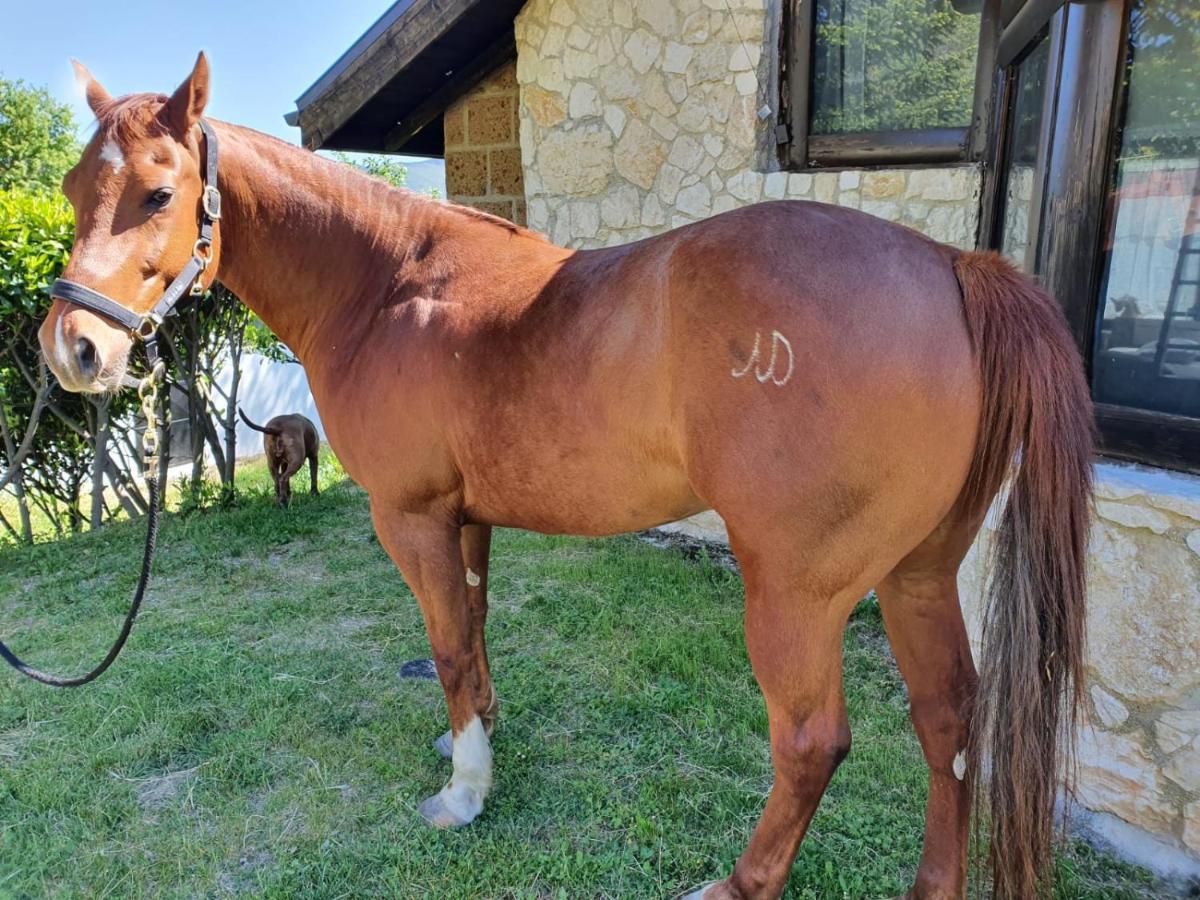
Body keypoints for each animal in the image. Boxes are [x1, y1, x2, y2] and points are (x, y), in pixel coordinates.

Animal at [37, 58, 1094, 900]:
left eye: (158, 195)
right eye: (74, 185)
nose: (73, 349)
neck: (386, 286)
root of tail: (949, 265)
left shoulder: (410, 517)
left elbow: (448, 646)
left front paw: (465, 792)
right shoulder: (464, 519)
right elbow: (472, 627)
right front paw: (476, 737)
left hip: (796, 592)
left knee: (810, 742)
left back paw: (738, 883)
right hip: (919, 574)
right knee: (947, 719)